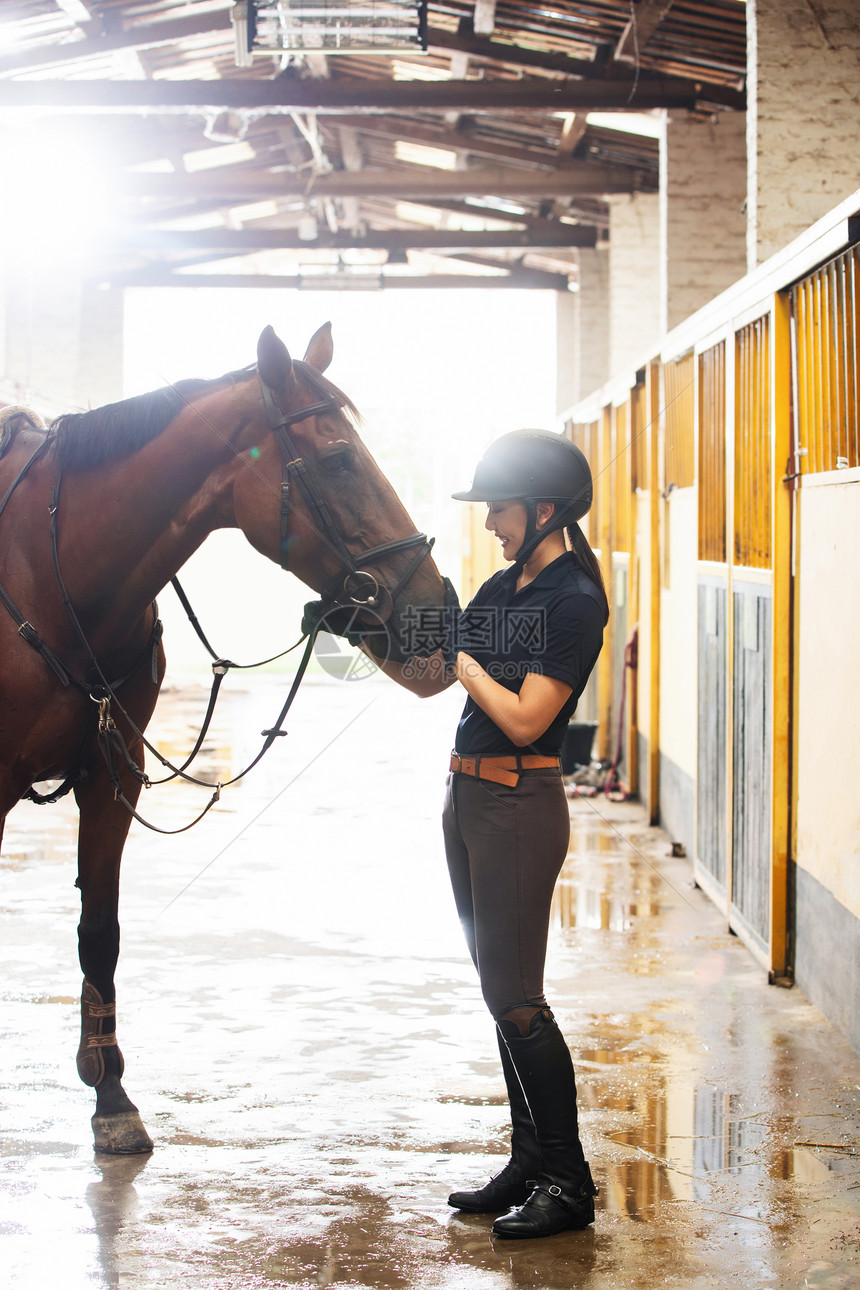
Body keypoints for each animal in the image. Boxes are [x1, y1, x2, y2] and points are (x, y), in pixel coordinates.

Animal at [0, 322, 443, 1161]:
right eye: (339, 458)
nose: (441, 610)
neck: (45, 563)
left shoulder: (113, 775)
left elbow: (99, 932)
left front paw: (112, 1099)